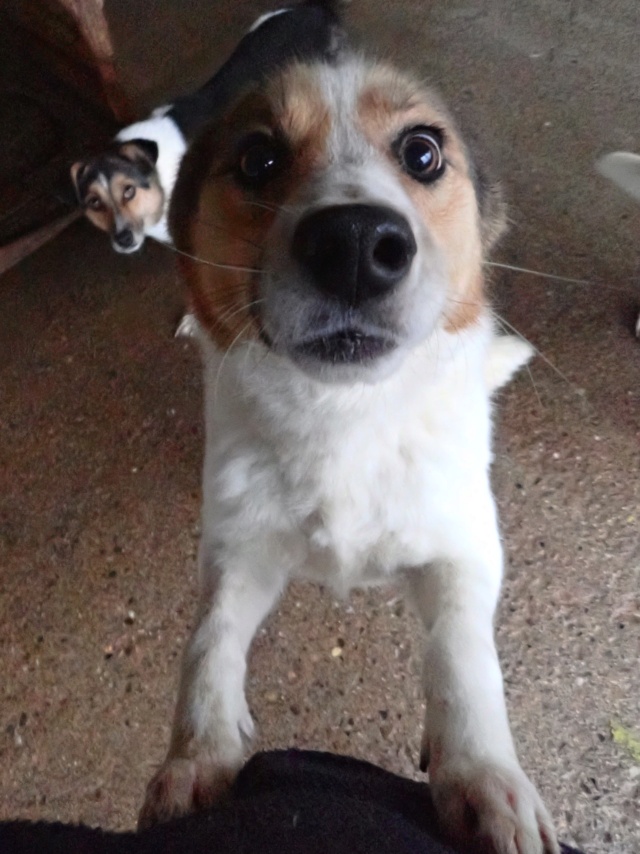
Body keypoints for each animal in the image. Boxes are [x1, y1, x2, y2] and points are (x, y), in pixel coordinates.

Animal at [136, 6, 559, 853]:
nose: (357, 244)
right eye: (257, 156)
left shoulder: (464, 550)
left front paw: (484, 777)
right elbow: (207, 643)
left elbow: (464, 658)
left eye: (423, 151)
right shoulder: (239, 551)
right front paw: (196, 761)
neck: (345, 417)